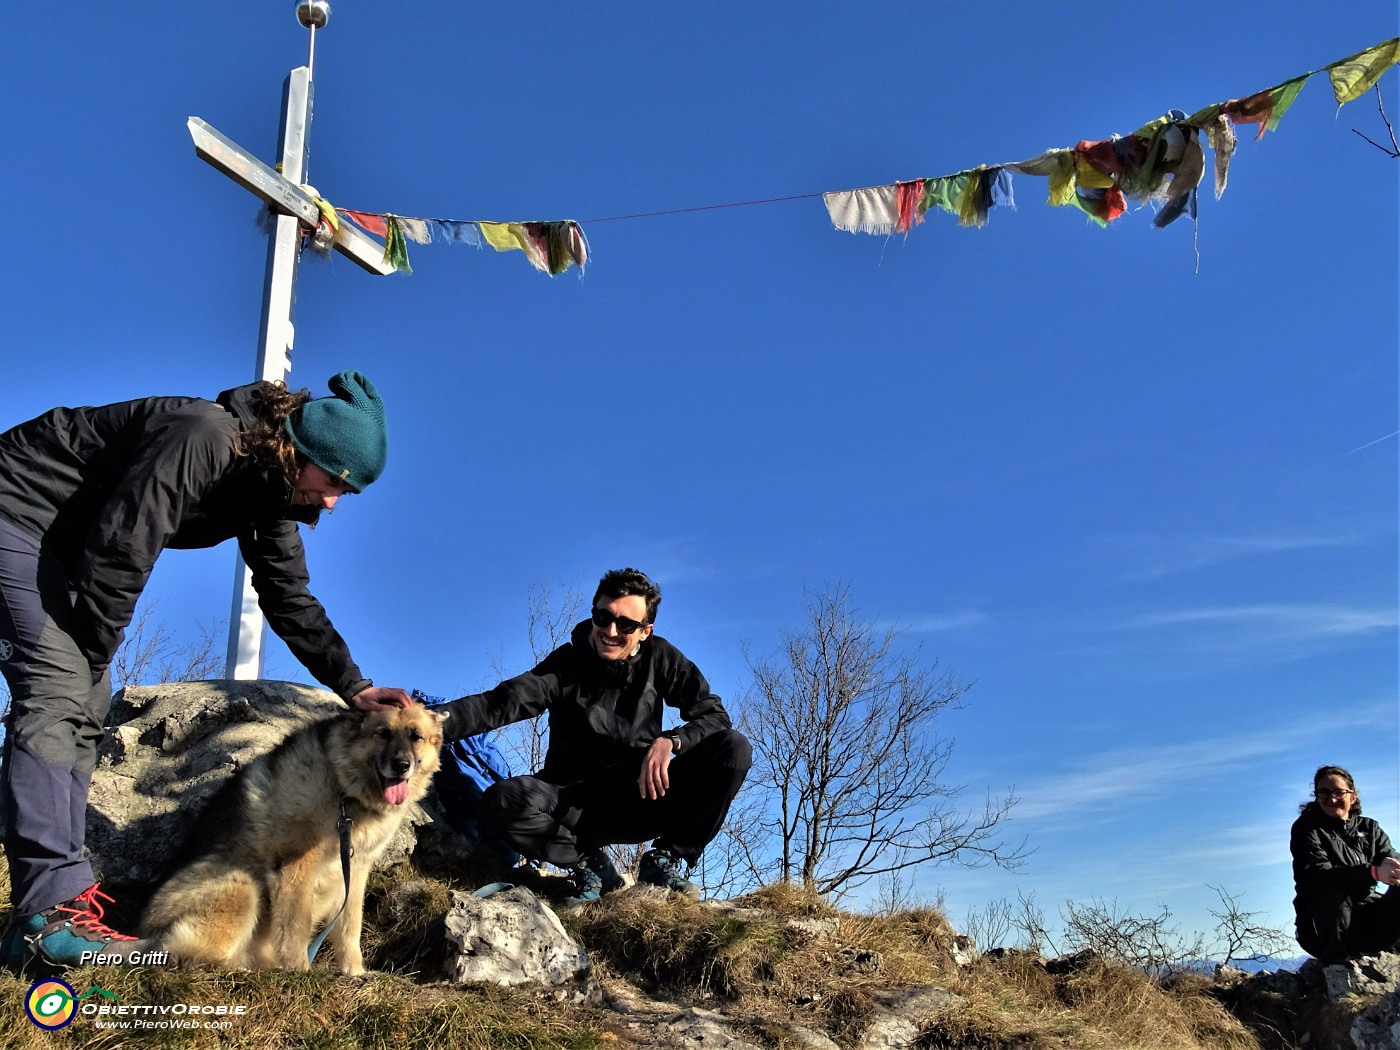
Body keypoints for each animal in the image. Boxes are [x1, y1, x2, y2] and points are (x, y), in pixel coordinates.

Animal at [141, 708, 442, 980]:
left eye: (416, 736)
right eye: (383, 733)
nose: (402, 765)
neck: (346, 791)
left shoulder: (355, 872)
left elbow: (349, 927)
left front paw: (354, 971)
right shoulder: (297, 863)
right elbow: (296, 924)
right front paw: (299, 971)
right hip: (241, 885)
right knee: (190, 955)